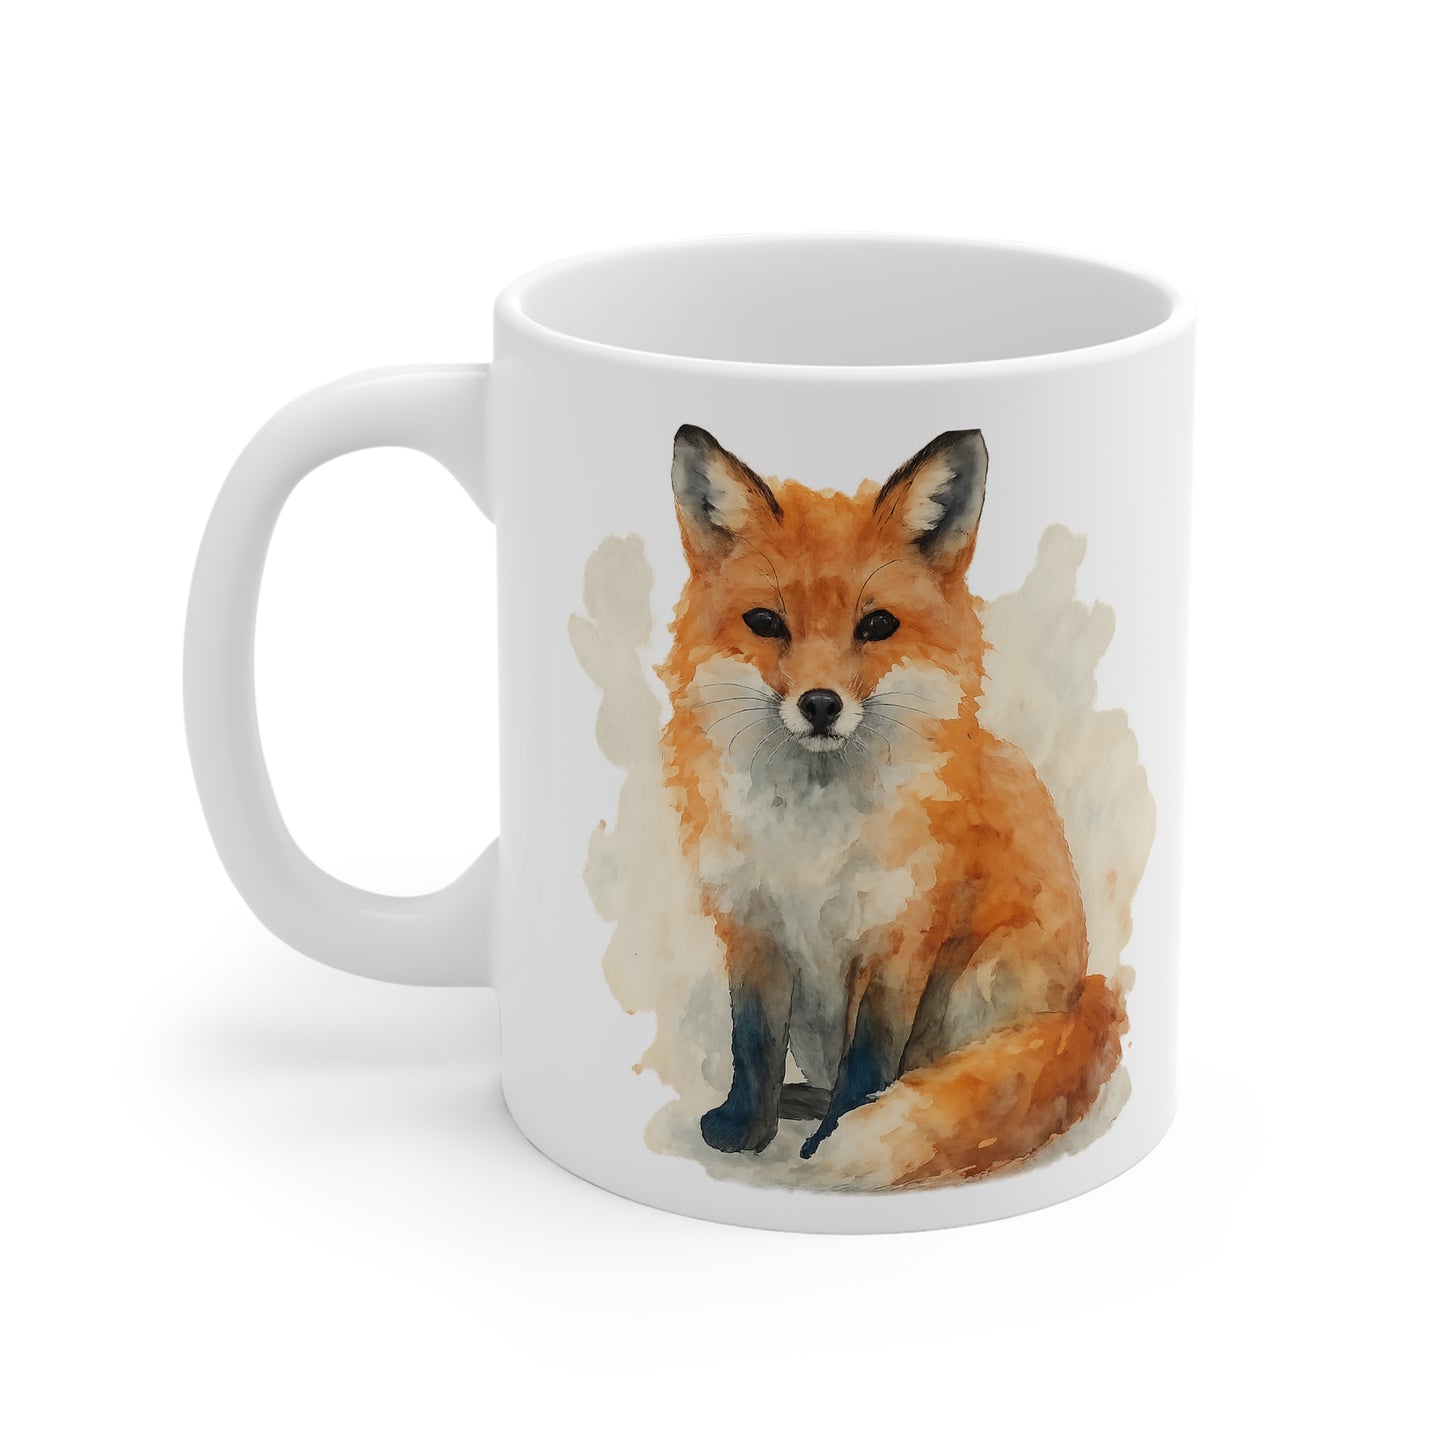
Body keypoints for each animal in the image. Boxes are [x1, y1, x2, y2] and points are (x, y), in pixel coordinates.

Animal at [659, 424, 1127, 1187]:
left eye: (876, 625)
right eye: (765, 622)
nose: (820, 705)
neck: (812, 832)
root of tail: (1088, 999)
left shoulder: (898, 938)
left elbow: (869, 1065)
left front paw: (833, 1140)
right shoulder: (753, 925)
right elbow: (751, 1041)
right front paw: (746, 1128)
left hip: (979, 985)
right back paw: (798, 1102)